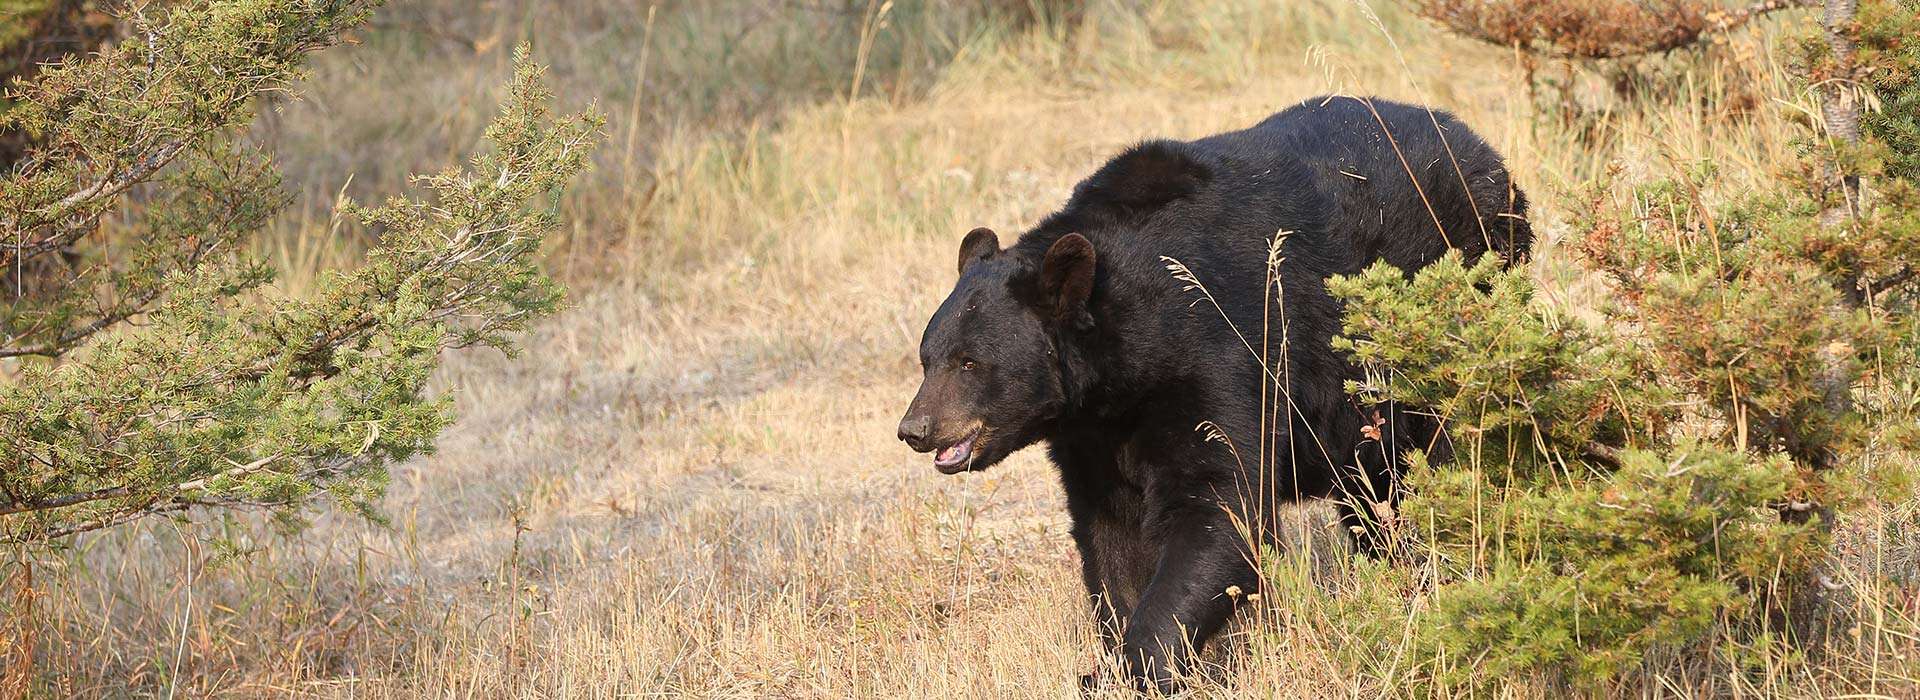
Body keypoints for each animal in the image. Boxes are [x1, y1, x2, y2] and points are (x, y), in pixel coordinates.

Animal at [894, 95, 1528, 690]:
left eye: (970, 362)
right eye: (928, 359)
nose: (915, 429)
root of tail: (1483, 147)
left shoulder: (1219, 353)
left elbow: (1219, 509)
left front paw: (1139, 662)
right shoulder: (1094, 434)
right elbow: (1111, 533)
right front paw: (1115, 658)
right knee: (1375, 495)